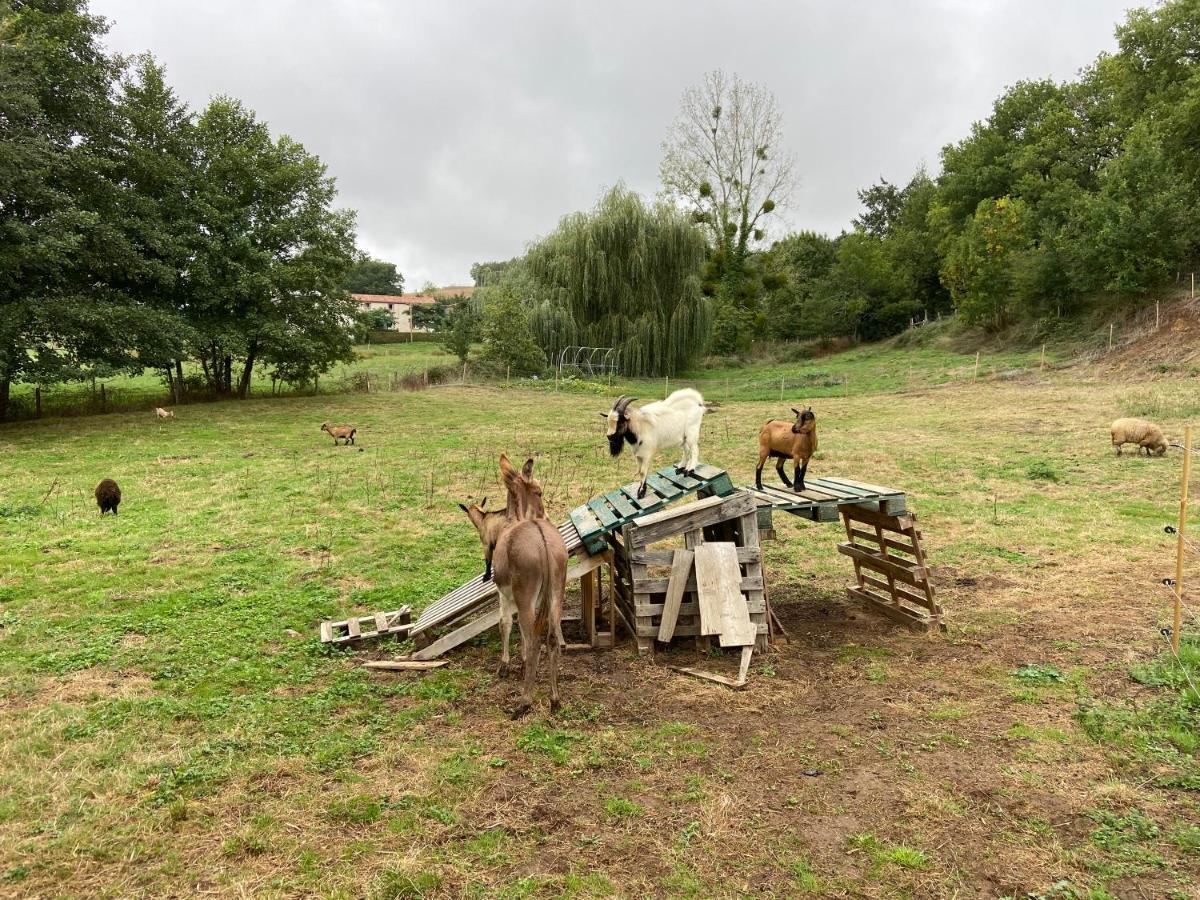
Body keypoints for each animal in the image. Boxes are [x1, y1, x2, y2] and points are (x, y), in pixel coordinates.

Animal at [496, 458, 571, 720]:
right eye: (539, 492)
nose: (546, 516)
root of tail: (542, 539)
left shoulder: (504, 594)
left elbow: (506, 624)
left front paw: (505, 665)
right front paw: (522, 664)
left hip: (525, 596)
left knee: (534, 641)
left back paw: (524, 702)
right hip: (557, 592)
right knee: (552, 638)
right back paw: (555, 699)